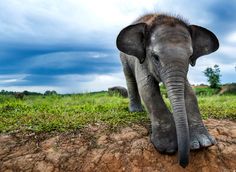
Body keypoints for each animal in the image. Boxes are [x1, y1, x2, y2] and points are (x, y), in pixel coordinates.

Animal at [116, 13, 219, 168]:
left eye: (190, 57)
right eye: (155, 57)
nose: (183, 164)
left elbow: (189, 91)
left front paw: (202, 144)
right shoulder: (142, 59)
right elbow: (147, 88)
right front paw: (168, 147)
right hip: (123, 58)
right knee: (130, 78)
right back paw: (136, 110)